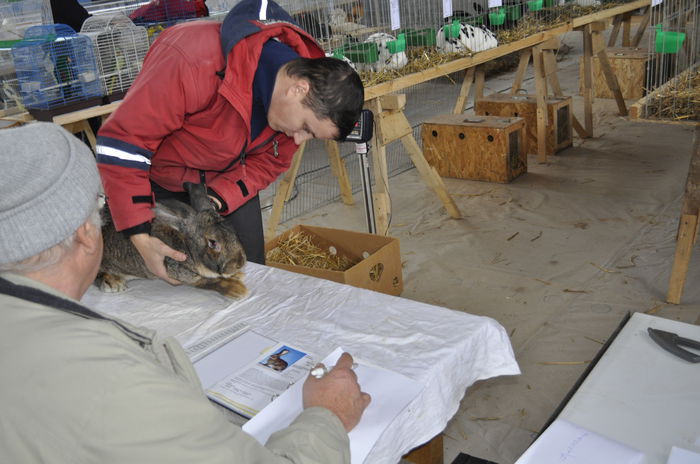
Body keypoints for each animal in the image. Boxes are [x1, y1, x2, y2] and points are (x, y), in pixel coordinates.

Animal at [95, 181, 249, 298]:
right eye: (213, 243)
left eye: (232, 230)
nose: (240, 263)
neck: (188, 248)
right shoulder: (181, 273)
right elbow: (209, 282)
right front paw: (237, 290)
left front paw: (237, 275)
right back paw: (114, 283)